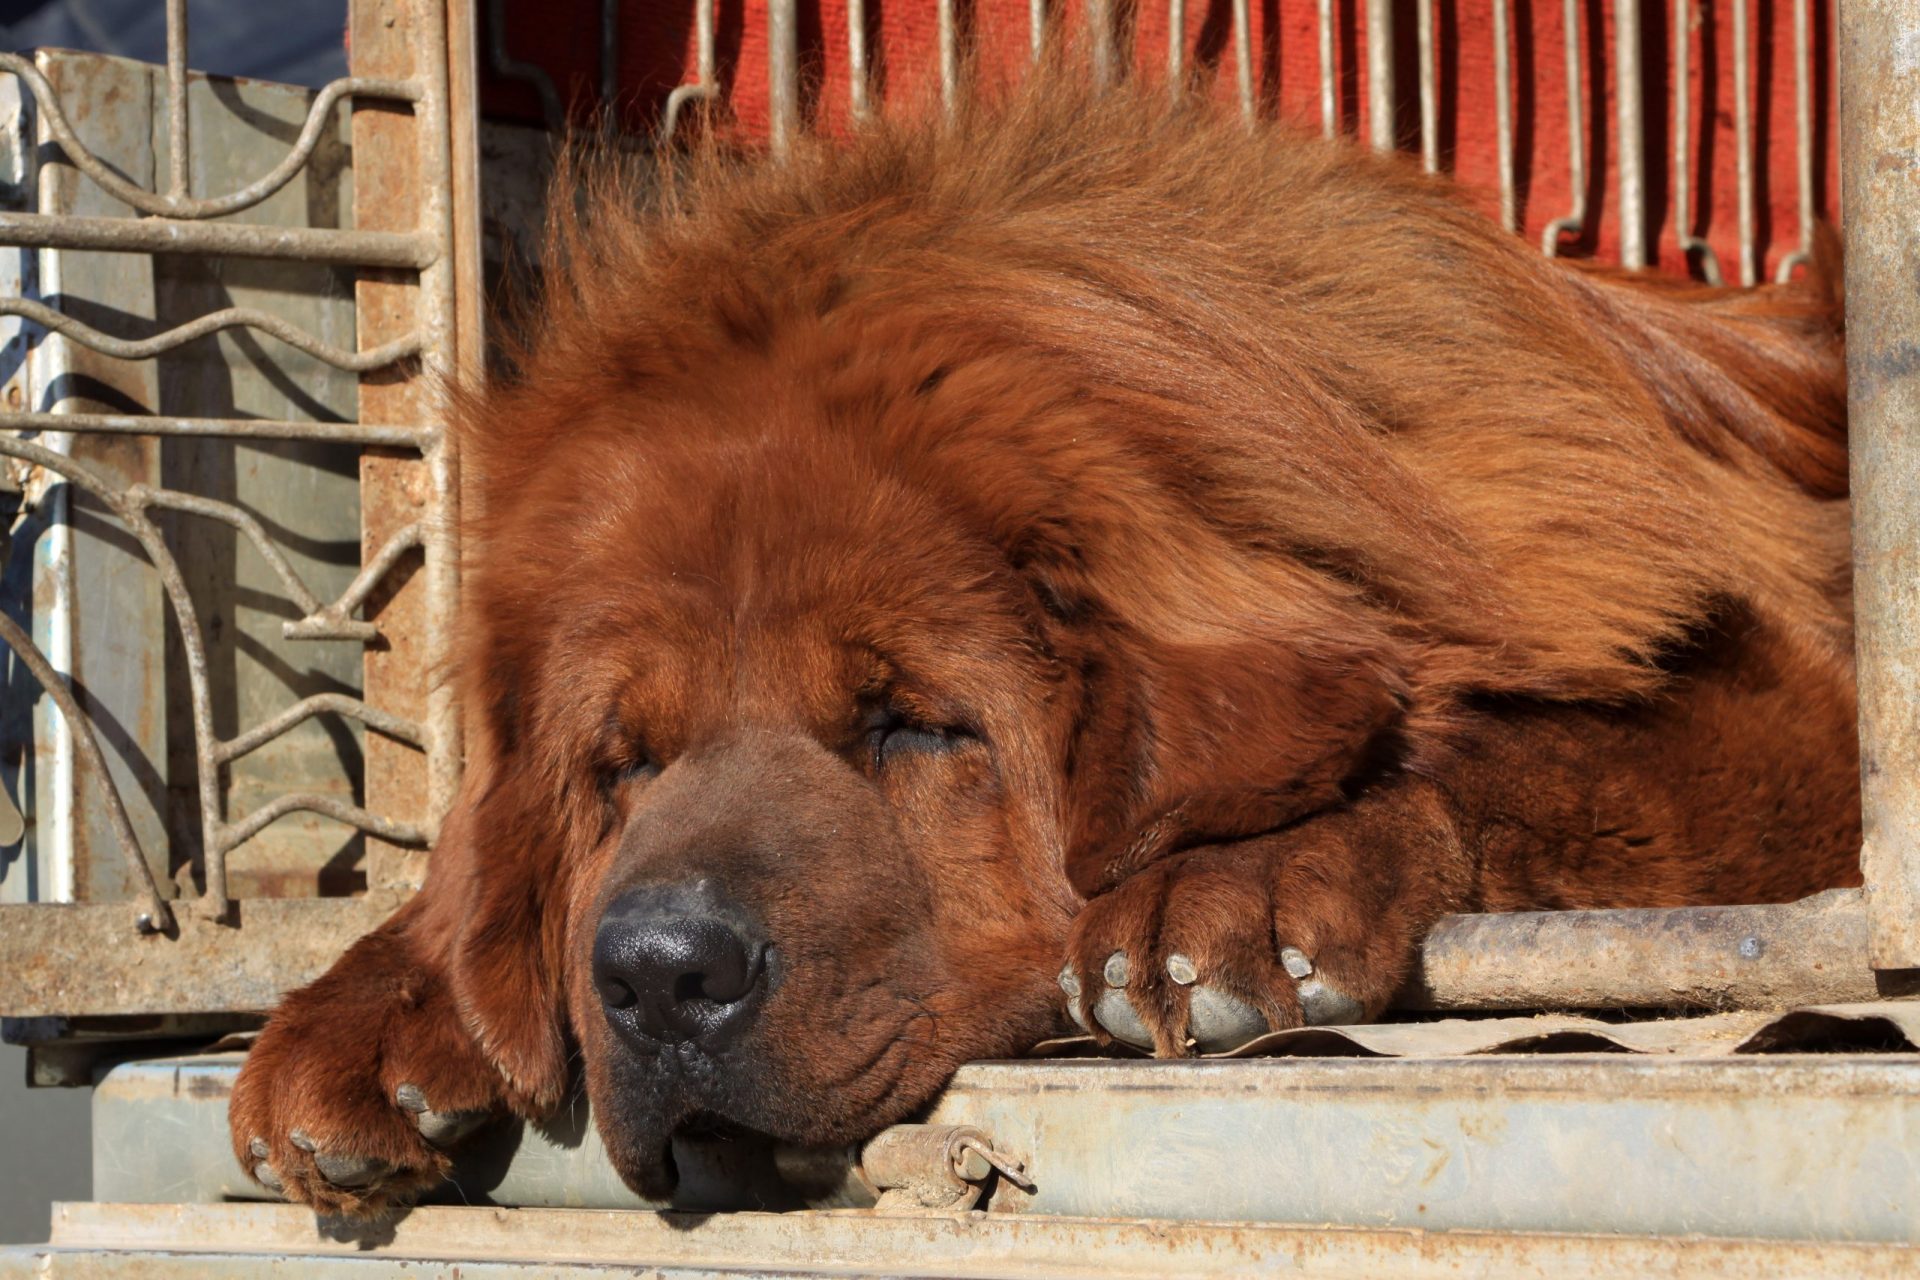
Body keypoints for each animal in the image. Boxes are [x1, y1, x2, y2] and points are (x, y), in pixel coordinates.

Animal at [224, 75, 1858, 1220]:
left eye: (911, 723)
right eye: (623, 764)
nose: (659, 976)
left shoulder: (1791, 713)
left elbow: (1548, 746)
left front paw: (1236, 879)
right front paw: (389, 998)